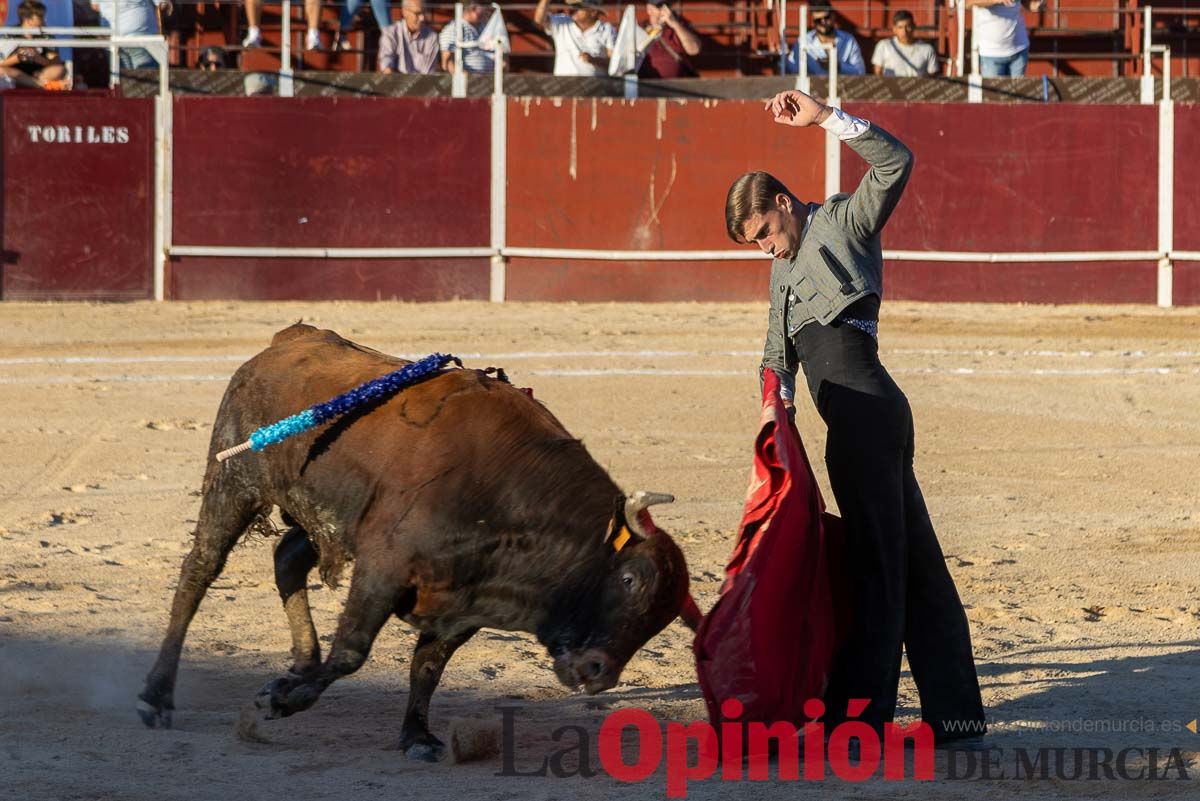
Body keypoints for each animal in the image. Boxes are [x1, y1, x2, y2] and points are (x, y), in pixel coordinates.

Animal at [139, 321, 700, 762]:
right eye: (628, 578)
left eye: (667, 614)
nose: (599, 673)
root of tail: (287, 339)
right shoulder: (383, 568)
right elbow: (352, 651)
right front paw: (282, 703)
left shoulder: (463, 603)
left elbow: (428, 666)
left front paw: (415, 736)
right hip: (233, 484)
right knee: (199, 570)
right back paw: (157, 697)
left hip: (322, 515)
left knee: (287, 559)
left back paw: (298, 663)